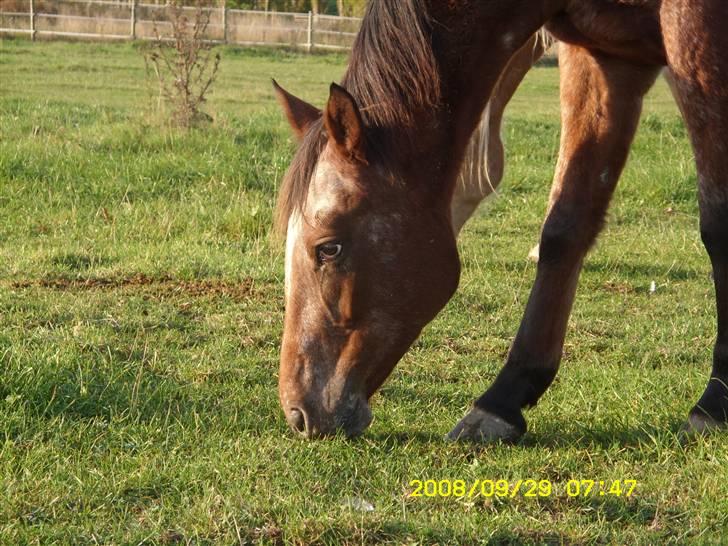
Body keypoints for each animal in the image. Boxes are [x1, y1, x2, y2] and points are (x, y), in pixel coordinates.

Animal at [272, 0, 728, 440]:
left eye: (328, 247)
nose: (298, 413)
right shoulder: (605, 56)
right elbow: (565, 227)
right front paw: (502, 400)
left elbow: (717, 224)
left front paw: (713, 405)